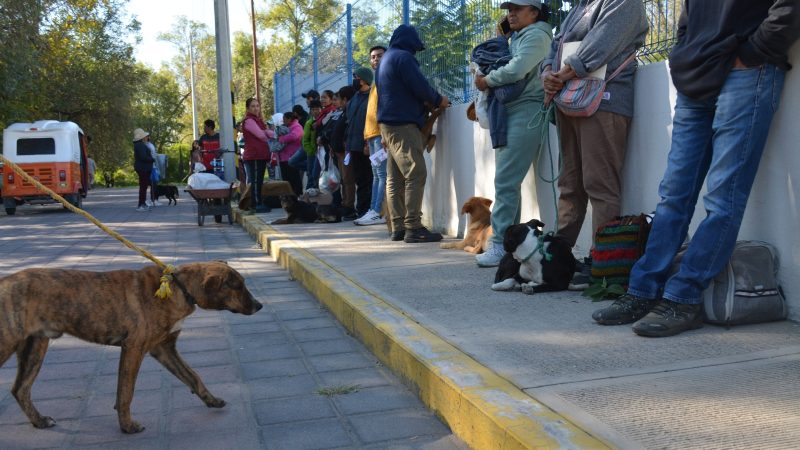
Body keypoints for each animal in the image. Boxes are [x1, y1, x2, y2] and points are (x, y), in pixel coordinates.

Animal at [0, 262, 262, 434]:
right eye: (238, 286)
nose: (259, 306)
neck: (179, 287)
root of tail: (4, 282)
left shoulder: (164, 349)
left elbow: (193, 376)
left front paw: (212, 400)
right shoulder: (134, 348)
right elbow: (126, 391)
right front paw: (127, 426)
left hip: (35, 347)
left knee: (20, 389)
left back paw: (40, 421)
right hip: (8, 343)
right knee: (20, 387)